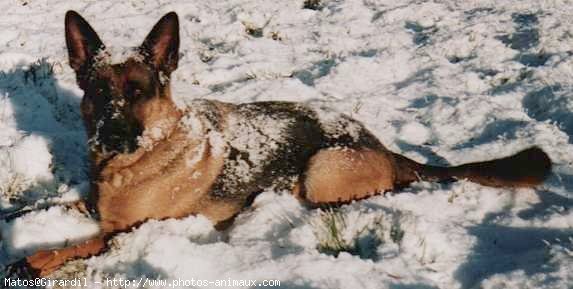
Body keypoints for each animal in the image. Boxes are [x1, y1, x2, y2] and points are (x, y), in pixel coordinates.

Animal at [7, 11, 548, 276]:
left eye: (138, 92)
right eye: (99, 91)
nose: (114, 135)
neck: (138, 158)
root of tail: (384, 147)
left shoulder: (132, 230)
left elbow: (79, 244)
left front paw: (34, 259)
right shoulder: (92, 201)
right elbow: (43, 208)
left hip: (321, 170)